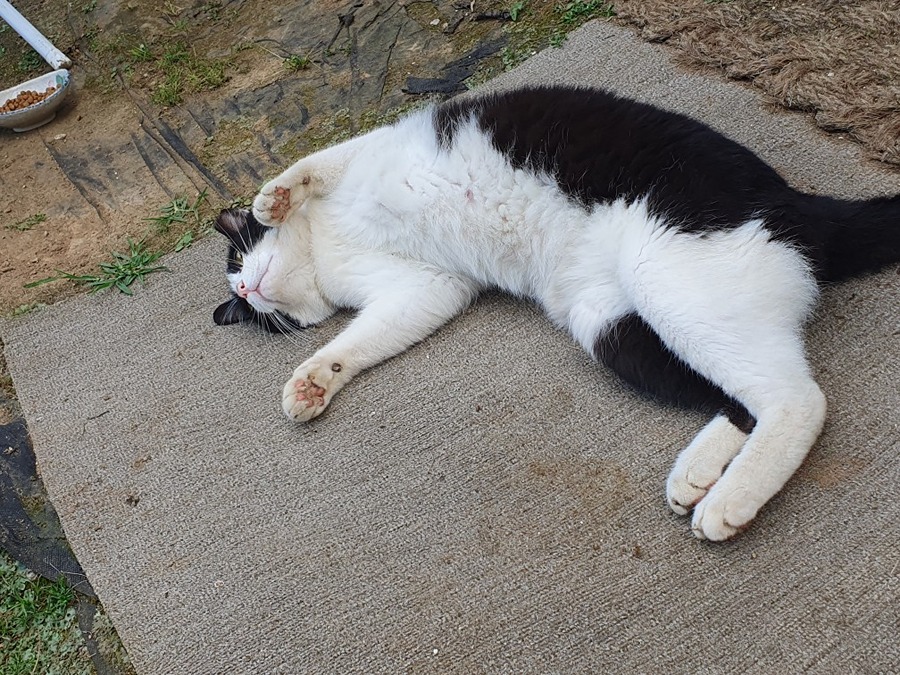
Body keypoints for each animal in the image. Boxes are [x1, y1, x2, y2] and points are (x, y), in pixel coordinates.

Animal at [213, 83, 900, 544]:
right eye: (243, 302)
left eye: (239, 255)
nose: (245, 292)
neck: (326, 249)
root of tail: (800, 206)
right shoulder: (427, 289)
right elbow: (358, 341)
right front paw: (314, 380)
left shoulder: (367, 155)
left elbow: (313, 164)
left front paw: (273, 199)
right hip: (610, 324)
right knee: (744, 397)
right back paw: (700, 474)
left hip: (668, 280)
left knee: (799, 399)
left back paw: (731, 500)